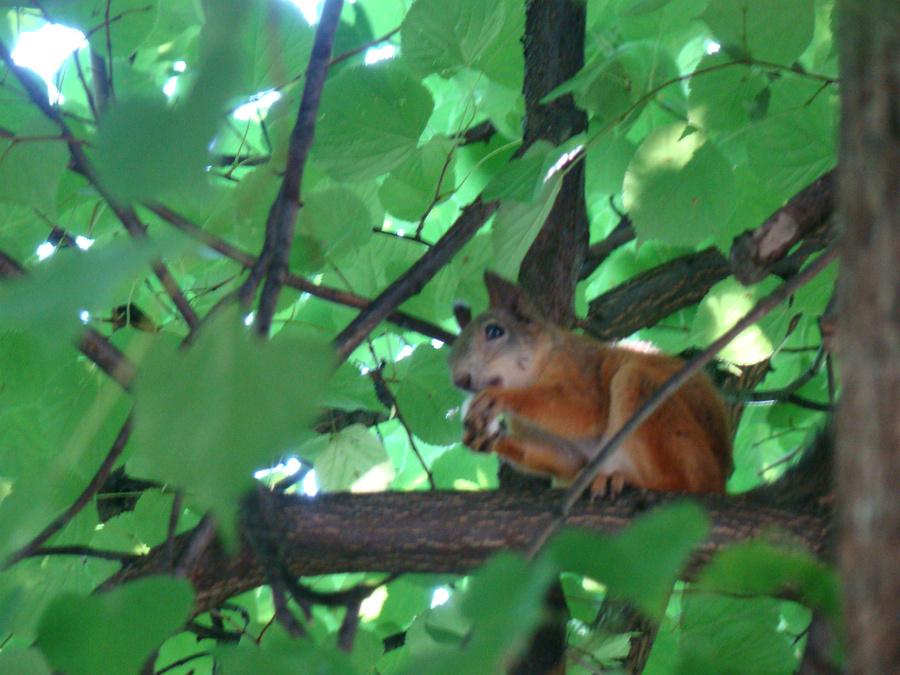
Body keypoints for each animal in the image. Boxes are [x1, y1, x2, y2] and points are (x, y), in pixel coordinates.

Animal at [446, 270, 736, 496]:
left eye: (495, 331)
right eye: (450, 356)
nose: (460, 379)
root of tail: (719, 481)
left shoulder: (581, 369)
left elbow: (585, 410)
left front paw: (499, 398)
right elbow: (566, 460)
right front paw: (482, 439)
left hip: (653, 405)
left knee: (684, 483)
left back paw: (628, 480)